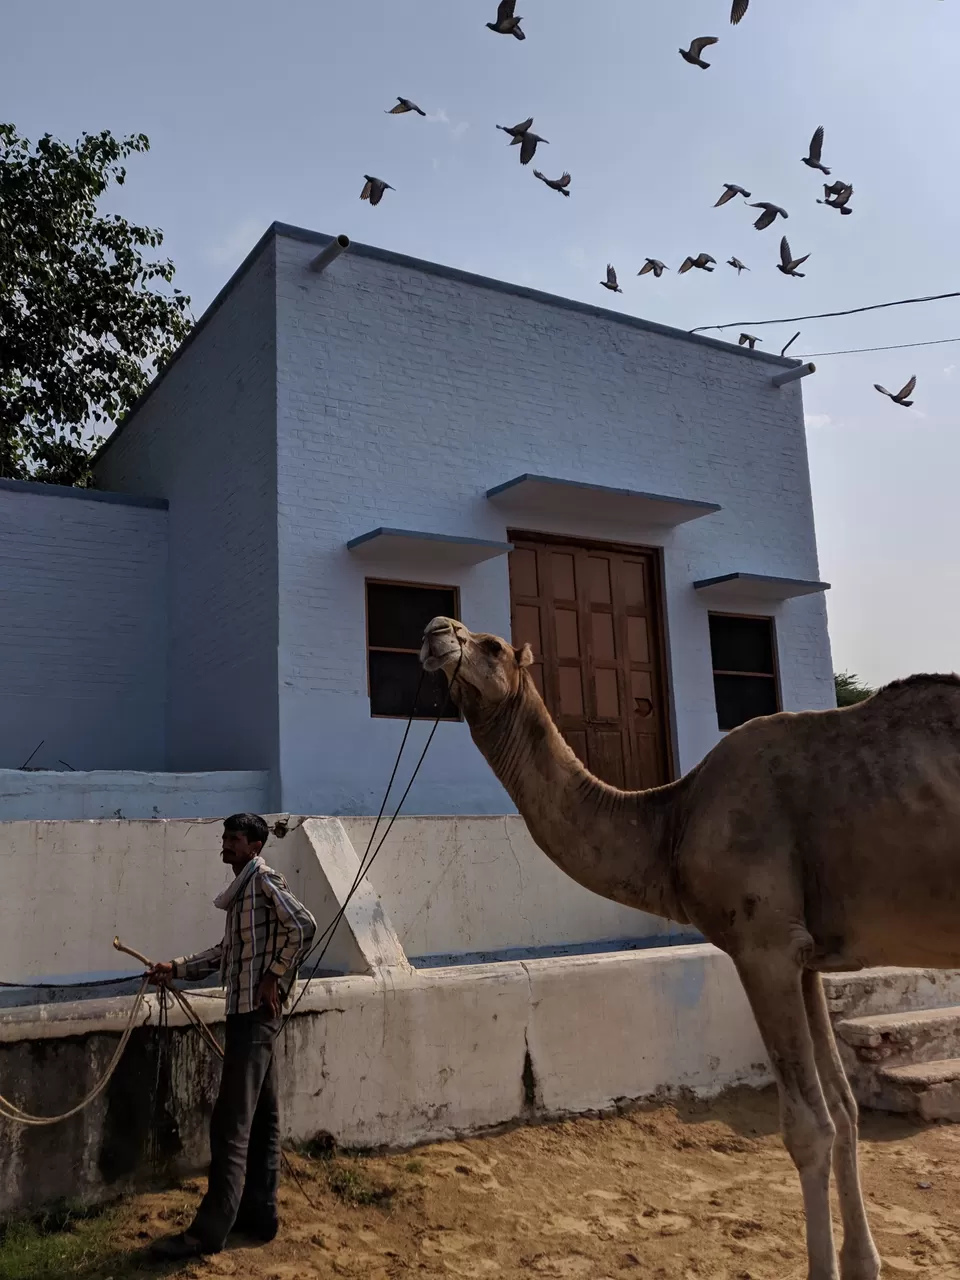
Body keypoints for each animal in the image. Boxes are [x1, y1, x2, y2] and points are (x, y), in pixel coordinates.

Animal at [419, 616, 960, 1280]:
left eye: (492, 646)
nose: (435, 630)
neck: (673, 820)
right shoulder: (805, 956)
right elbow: (844, 1108)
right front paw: (861, 1262)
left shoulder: (763, 945)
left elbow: (808, 1127)